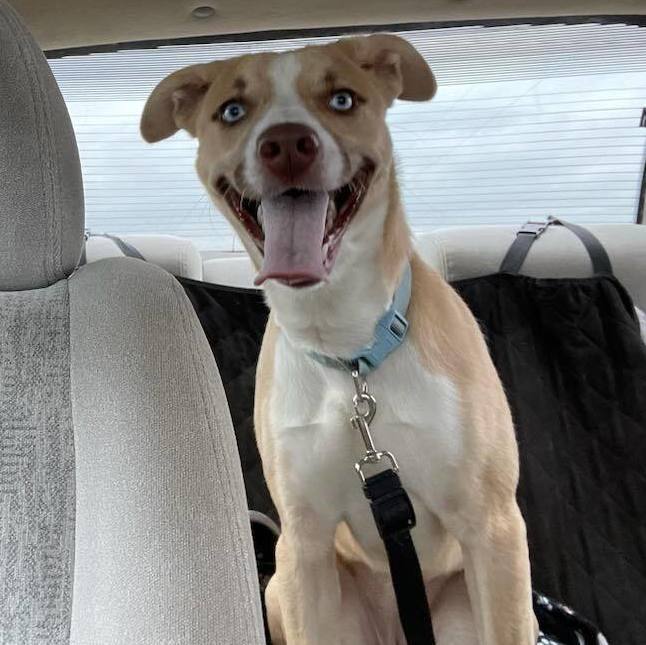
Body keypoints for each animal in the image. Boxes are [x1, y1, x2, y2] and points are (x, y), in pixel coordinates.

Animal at [143, 35, 540, 644]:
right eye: (231, 111)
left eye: (343, 99)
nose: (286, 145)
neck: (347, 350)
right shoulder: (305, 544)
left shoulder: (493, 527)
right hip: (286, 586)